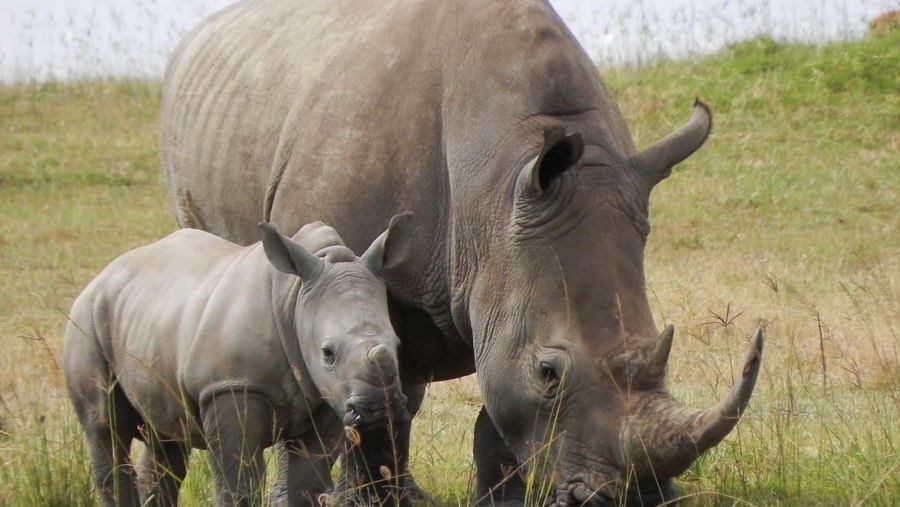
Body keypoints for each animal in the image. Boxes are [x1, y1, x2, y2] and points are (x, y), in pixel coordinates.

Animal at [64, 215, 414, 507]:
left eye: (398, 345)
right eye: (327, 352)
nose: (377, 408)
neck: (294, 300)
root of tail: (103, 274)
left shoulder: (327, 396)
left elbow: (307, 484)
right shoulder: (230, 385)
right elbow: (239, 484)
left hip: (149, 317)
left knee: (166, 440)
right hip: (87, 319)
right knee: (105, 429)